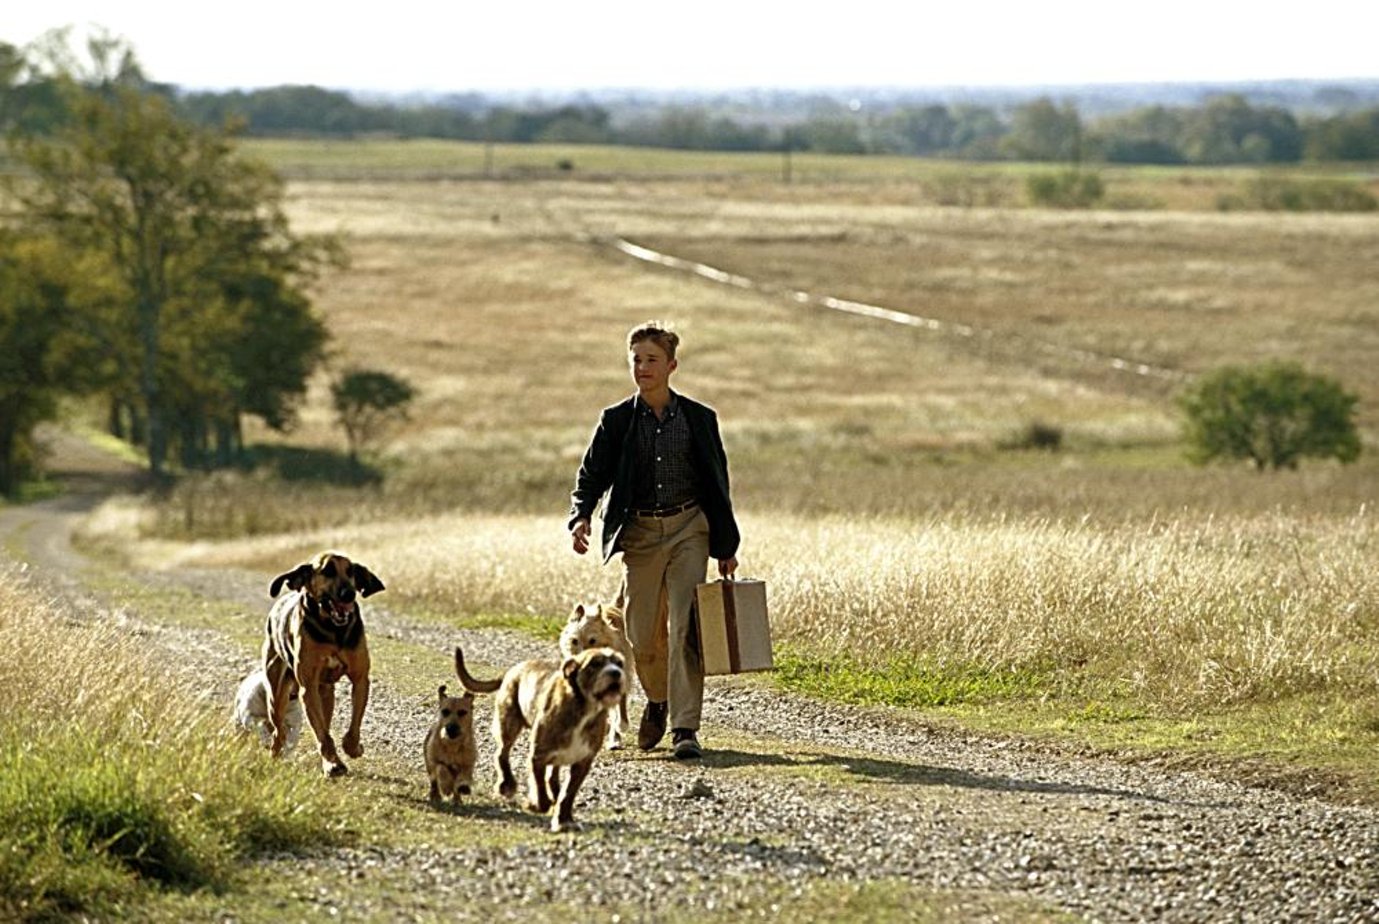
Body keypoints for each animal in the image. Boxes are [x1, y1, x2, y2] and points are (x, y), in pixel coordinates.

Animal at [260, 554, 383, 777]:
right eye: (327, 571)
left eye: (351, 572)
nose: (349, 594)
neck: (332, 630)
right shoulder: (308, 688)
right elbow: (322, 735)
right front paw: (333, 764)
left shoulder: (360, 680)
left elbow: (354, 726)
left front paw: (353, 748)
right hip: (277, 695)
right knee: (279, 731)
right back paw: (275, 754)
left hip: (326, 692)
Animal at [452, 648, 626, 838]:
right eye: (595, 663)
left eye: (620, 663)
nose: (616, 673)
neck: (584, 708)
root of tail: (512, 669)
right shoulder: (538, 756)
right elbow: (540, 788)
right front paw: (535, 805)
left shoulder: (582, 762)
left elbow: (568, 794)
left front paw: (564, 819)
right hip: (509, 723)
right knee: (501, 754)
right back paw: (507, 784)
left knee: (552, 775)